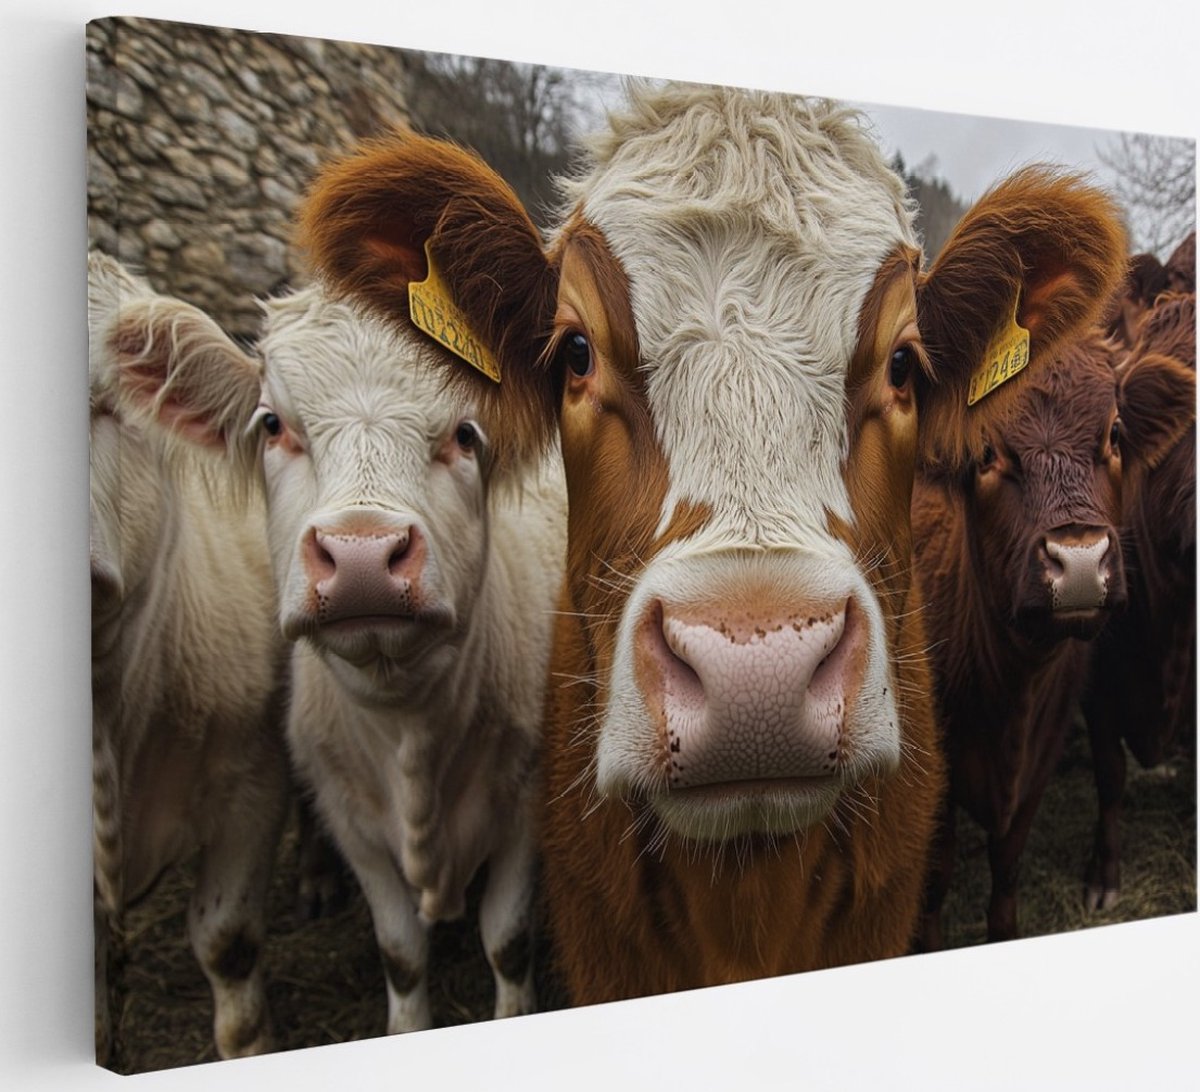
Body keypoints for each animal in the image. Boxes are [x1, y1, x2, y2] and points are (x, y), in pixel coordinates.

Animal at [101, 274, 568, 1033]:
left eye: (468, 433)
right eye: (272, 425)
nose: (361, 558)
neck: (410, 725)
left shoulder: (525, 804)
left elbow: (508, 939)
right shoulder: (354, 823)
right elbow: (401, 954)